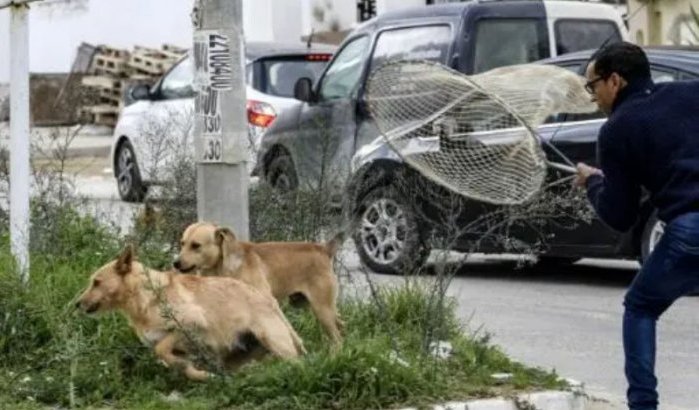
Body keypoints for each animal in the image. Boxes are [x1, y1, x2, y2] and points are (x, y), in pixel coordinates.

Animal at [76, 243, 306, 382]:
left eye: (97, 282)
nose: (77, 304)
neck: (147, 296)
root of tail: (269, 301)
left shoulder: (192, 323)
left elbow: (162, 348)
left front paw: (189, 368)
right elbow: (174, 360)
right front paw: (198, 374)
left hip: (273, 341)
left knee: (296, 363)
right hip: (239, 357)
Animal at [175, 223, 344, 348]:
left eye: (196, 245)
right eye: (182, 243)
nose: (175, 263)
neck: (222, 268)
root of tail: (324, 249)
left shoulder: (268, 302)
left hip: (322, 309)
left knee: (336, 337)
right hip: (317, 306)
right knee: (341, 325)